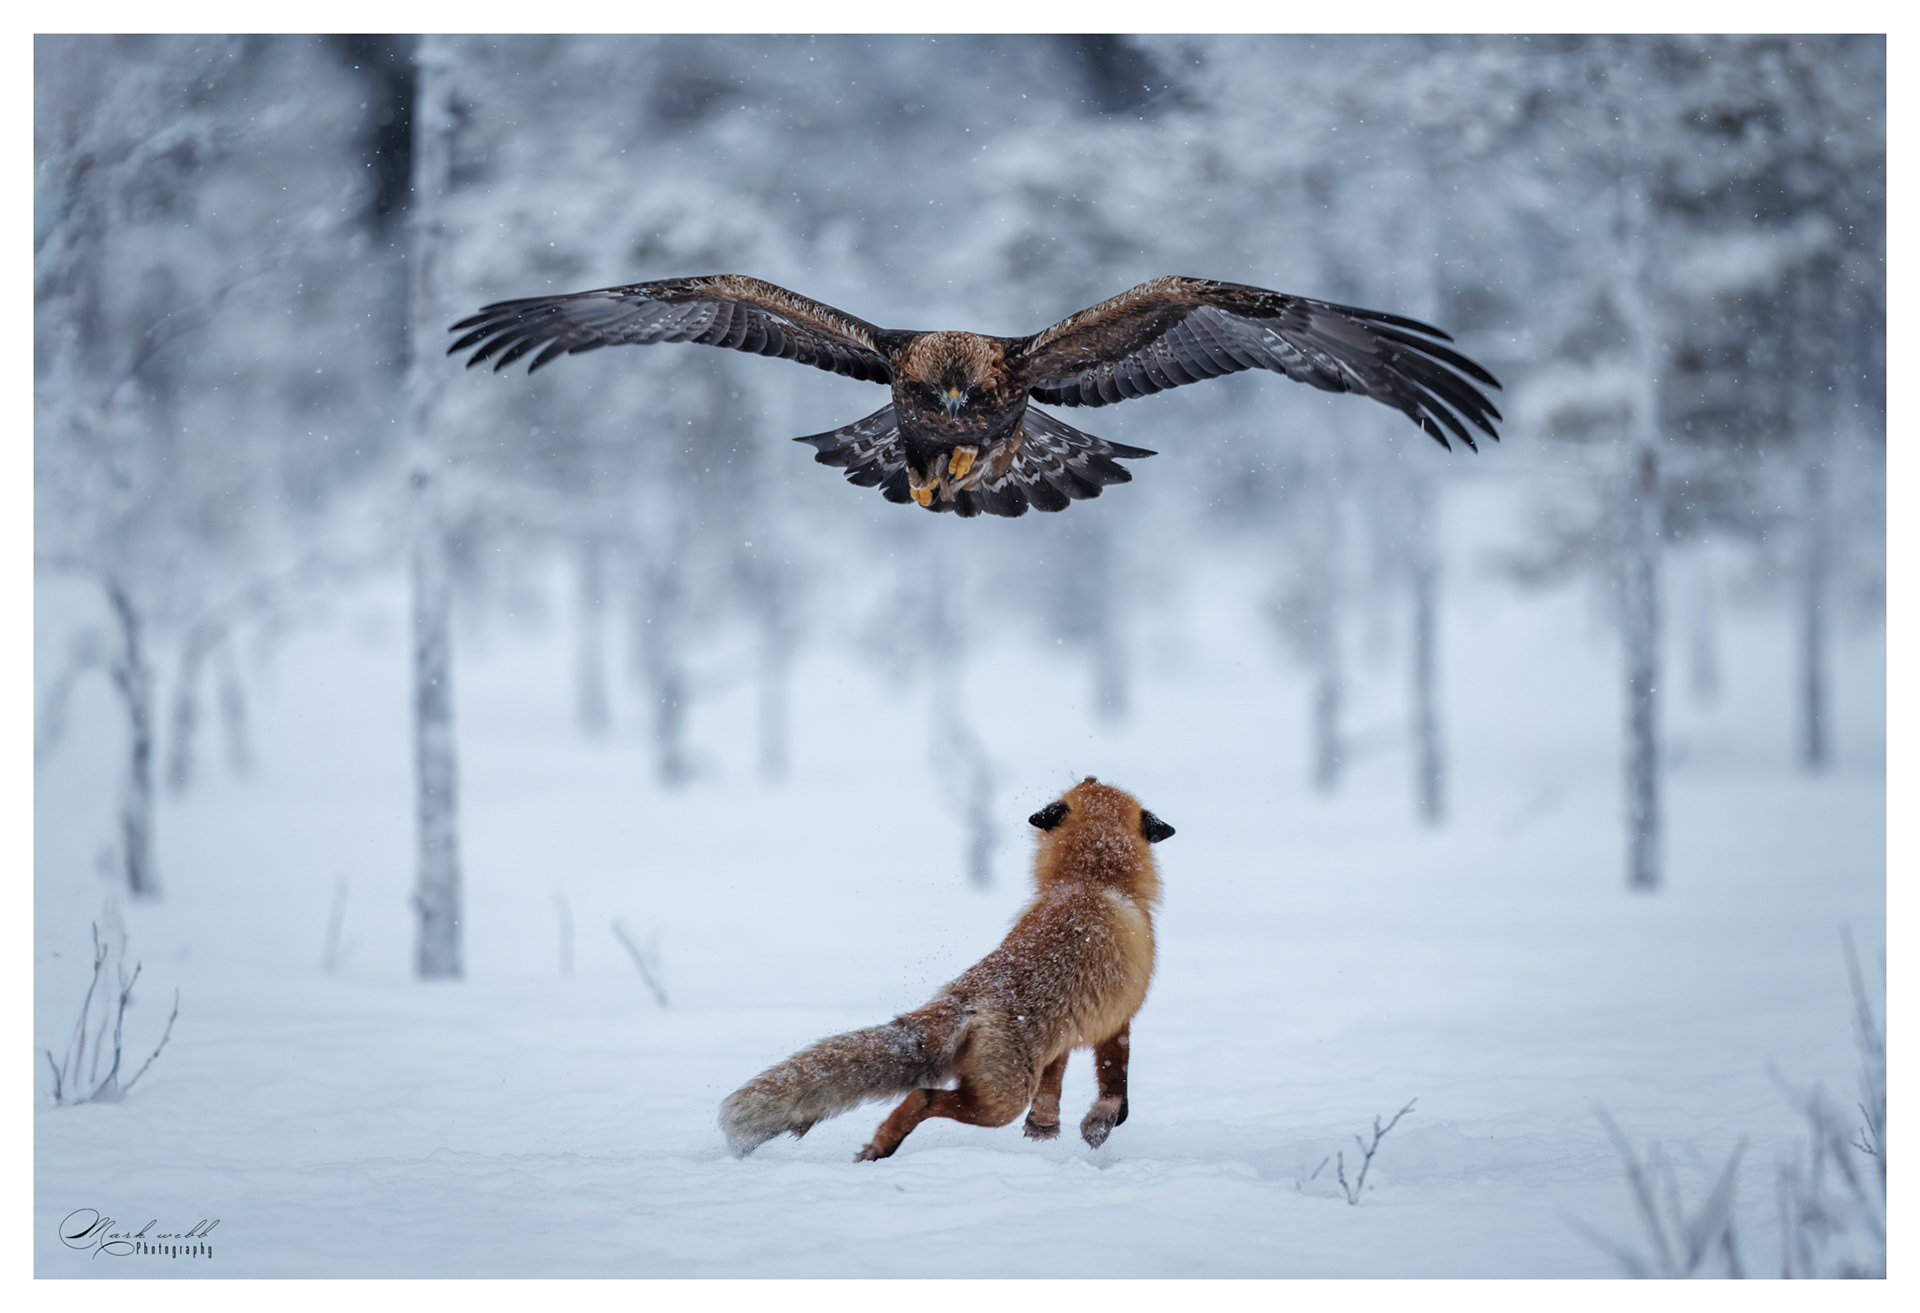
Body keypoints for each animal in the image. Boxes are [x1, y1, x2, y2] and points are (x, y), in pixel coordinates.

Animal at [719, 776, 1175, 1161]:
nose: (1090, 774)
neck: (1091, 879)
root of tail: (967, 999)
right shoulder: (1120, 1016)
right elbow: (1116, 1081)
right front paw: (1102, 1122)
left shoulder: (1065, 1031)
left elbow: (1054, 1083)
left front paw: (1044, 1126)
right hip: (1002, 1102)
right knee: (924, 1096)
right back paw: (884, 1145)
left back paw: (878, 1148)